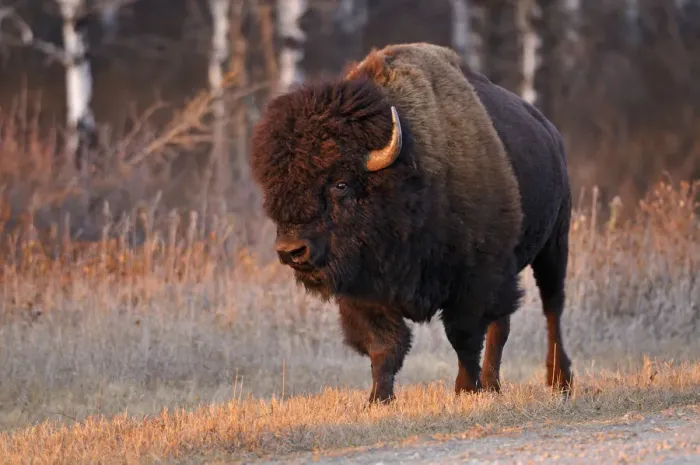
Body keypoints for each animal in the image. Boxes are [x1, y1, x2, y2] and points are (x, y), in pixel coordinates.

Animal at [250, 42, 573, 403]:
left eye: (340, 184)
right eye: (275, 188)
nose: (291, 250)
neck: (411, 176)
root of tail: (551, 134)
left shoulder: (475, 278)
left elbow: (463, 336)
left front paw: (465, 389)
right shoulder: (364, 290)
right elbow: (384, 345)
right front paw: (378, 399)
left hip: (553, 246)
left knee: (552, 309)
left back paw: (559, 380)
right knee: (502, 325)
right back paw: (493, 385)